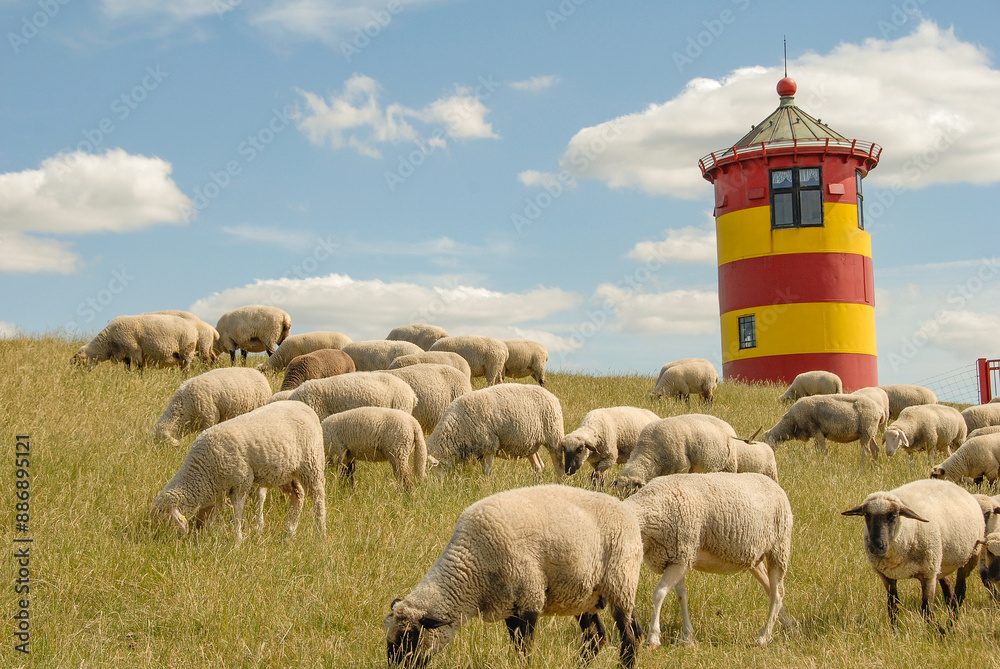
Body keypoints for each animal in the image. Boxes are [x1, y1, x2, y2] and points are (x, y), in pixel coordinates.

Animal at [150, 401, 326, 541]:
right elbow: (209, 515)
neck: (202, 471)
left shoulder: (242, 482)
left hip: (311, 463)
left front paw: (237, 539)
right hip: (287, 472)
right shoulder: (218, 490)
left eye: (164, 518)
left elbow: (238, 512)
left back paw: (320, 533)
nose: (157, 539)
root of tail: (305, 407)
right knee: (298, 496)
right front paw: (203, 535)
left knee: (318, 498)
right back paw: (289, 531)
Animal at [384, 484, 644, 668]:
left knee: (628, 637)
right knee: (597, 637)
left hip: (621, 580)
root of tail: (627, 511)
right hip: (585, 595)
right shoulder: (509, 605)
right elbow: (517, 645)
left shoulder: (529, 598)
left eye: (410, 638)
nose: (395, 667)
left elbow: (524, 649)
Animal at [426, 383, 564, 475]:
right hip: (530, 443)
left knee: (559, 467)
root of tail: (552, 395)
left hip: (554, 437)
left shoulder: (489, 446)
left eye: (435, 470)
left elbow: (486, 471)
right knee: (538, 466)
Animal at [623, 472, 794, 647]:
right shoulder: (678, 557)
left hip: (778, 548)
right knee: (770, 589)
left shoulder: (681, 557)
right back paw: (789, 625)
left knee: (777, 594)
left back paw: (763, 637)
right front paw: (688, 636)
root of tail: (774, 485)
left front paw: (653, 637)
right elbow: (682, 596)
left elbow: (659, 594)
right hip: (754, 557)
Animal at [842, 478, 984, 627]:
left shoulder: (928, 573)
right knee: (949, 590)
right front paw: (896, 630)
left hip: (969, 557)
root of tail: (950, 483)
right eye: (867, 515)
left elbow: (926, 610)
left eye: (894, 516)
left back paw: (951, 624)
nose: (877, 546)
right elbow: (893, 608)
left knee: (960, 592)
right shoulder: (887, 576)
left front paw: (937, 631)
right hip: (940, 562)